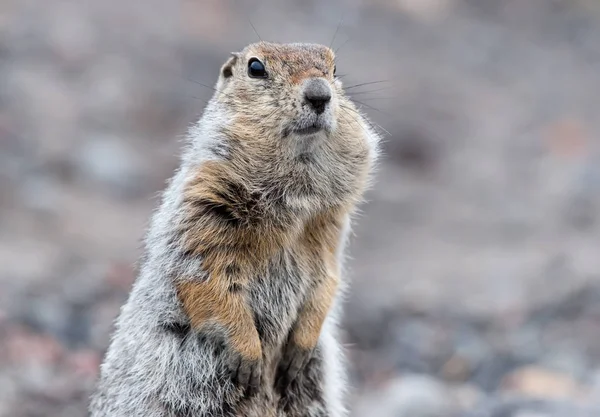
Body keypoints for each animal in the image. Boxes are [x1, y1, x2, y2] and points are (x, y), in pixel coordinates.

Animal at [89, 42, 380, 416]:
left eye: (334, 67)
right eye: (255, 68)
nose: (320, 94)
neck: (296, 195)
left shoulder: (330, 228)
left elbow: (328, 278)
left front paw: (299, 347)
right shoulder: (203, 206)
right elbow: (207, 277)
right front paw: (249, 357)